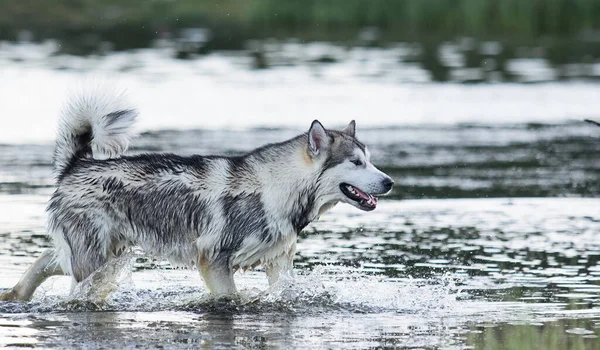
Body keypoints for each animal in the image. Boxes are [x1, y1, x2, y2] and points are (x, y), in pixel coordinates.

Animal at [1, 89, 394, 300]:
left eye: (370, 159)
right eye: (356, 162)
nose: (389, 182)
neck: (277, 188)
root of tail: (76, 164)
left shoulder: (278, 263)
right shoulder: (213, 260)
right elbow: (229, 297)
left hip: (104, 255)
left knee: (46, 259)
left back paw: (16, 294)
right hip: (96, 262)